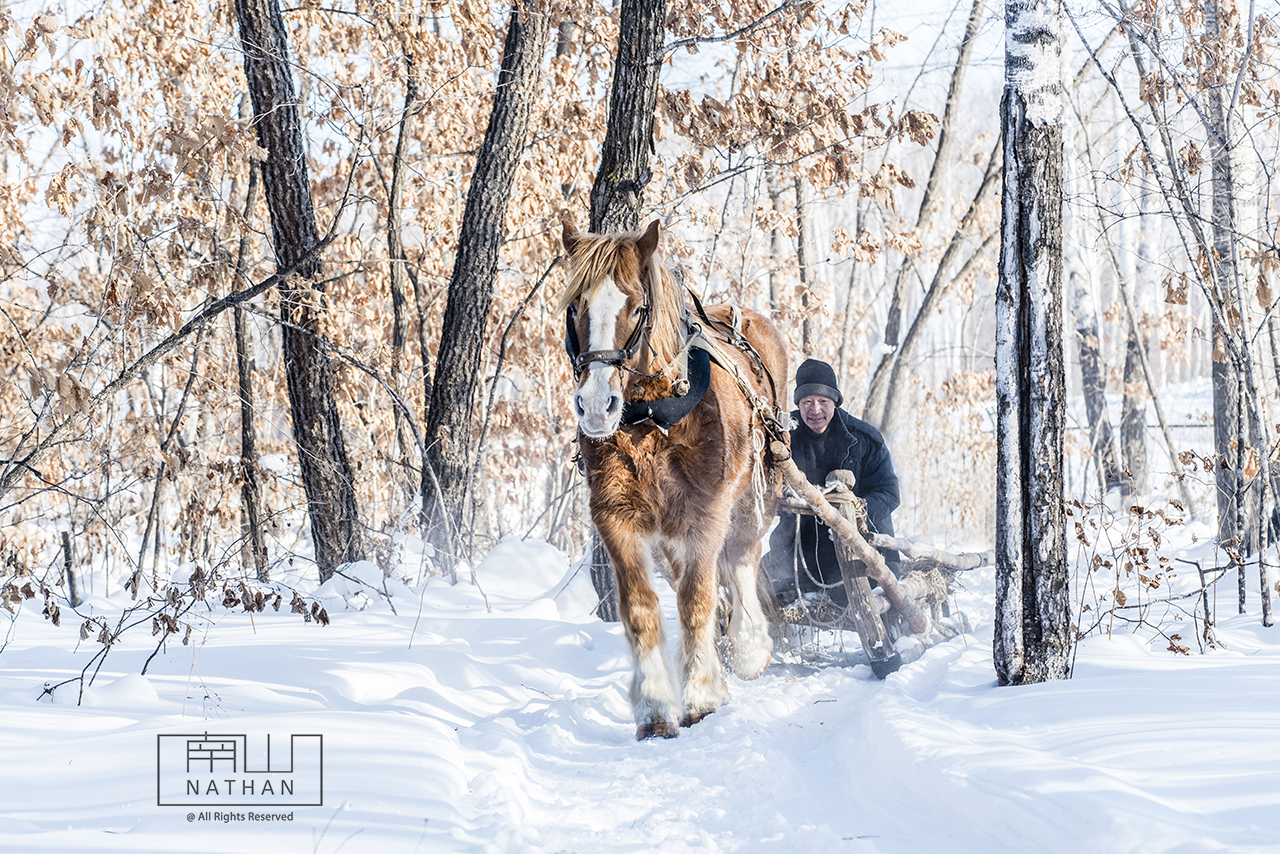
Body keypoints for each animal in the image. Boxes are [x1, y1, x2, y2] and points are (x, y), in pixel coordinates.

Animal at [560, 217, 788, 737]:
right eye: (575, 305)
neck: (652, 418)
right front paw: (655, 708)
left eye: (636, 306)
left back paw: (748, 646)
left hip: (759, 493)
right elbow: (642, 608)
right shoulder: (615, 516)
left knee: (742, 555)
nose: (596, 406)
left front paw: (702, 696)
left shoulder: (707, 510)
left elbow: (697, 598)